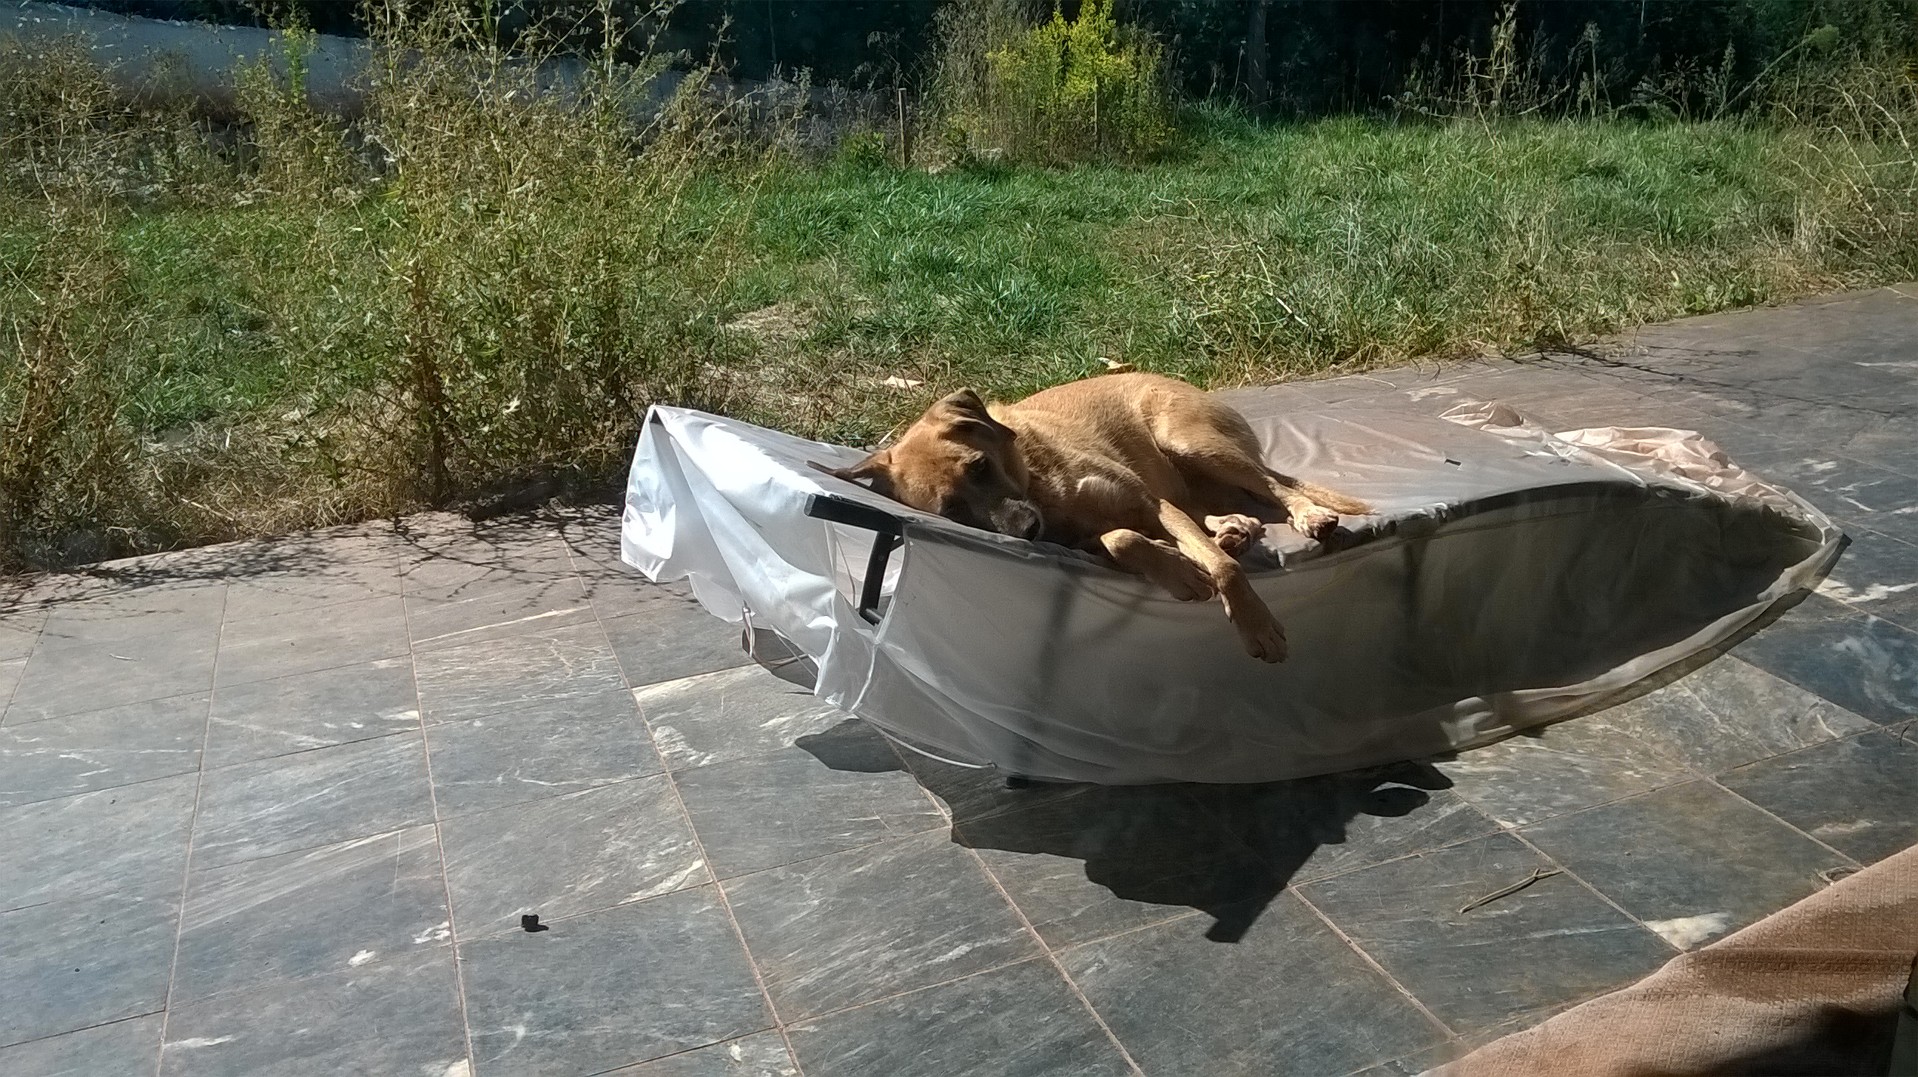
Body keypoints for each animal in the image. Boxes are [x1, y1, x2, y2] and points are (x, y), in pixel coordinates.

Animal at [816, 372, 1371, 662]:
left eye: (979, 467)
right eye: (951, 511)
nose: (1027, 531)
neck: (1044, 486)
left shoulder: (1150, 503)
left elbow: (1224, 568)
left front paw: (1256, 627)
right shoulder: (1097, 535)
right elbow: (1121, 540)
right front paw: (1178, 568)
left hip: (1189, 442)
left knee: (1277, 487)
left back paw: (1307, 517)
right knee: (1227, 512)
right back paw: (1233, 529)